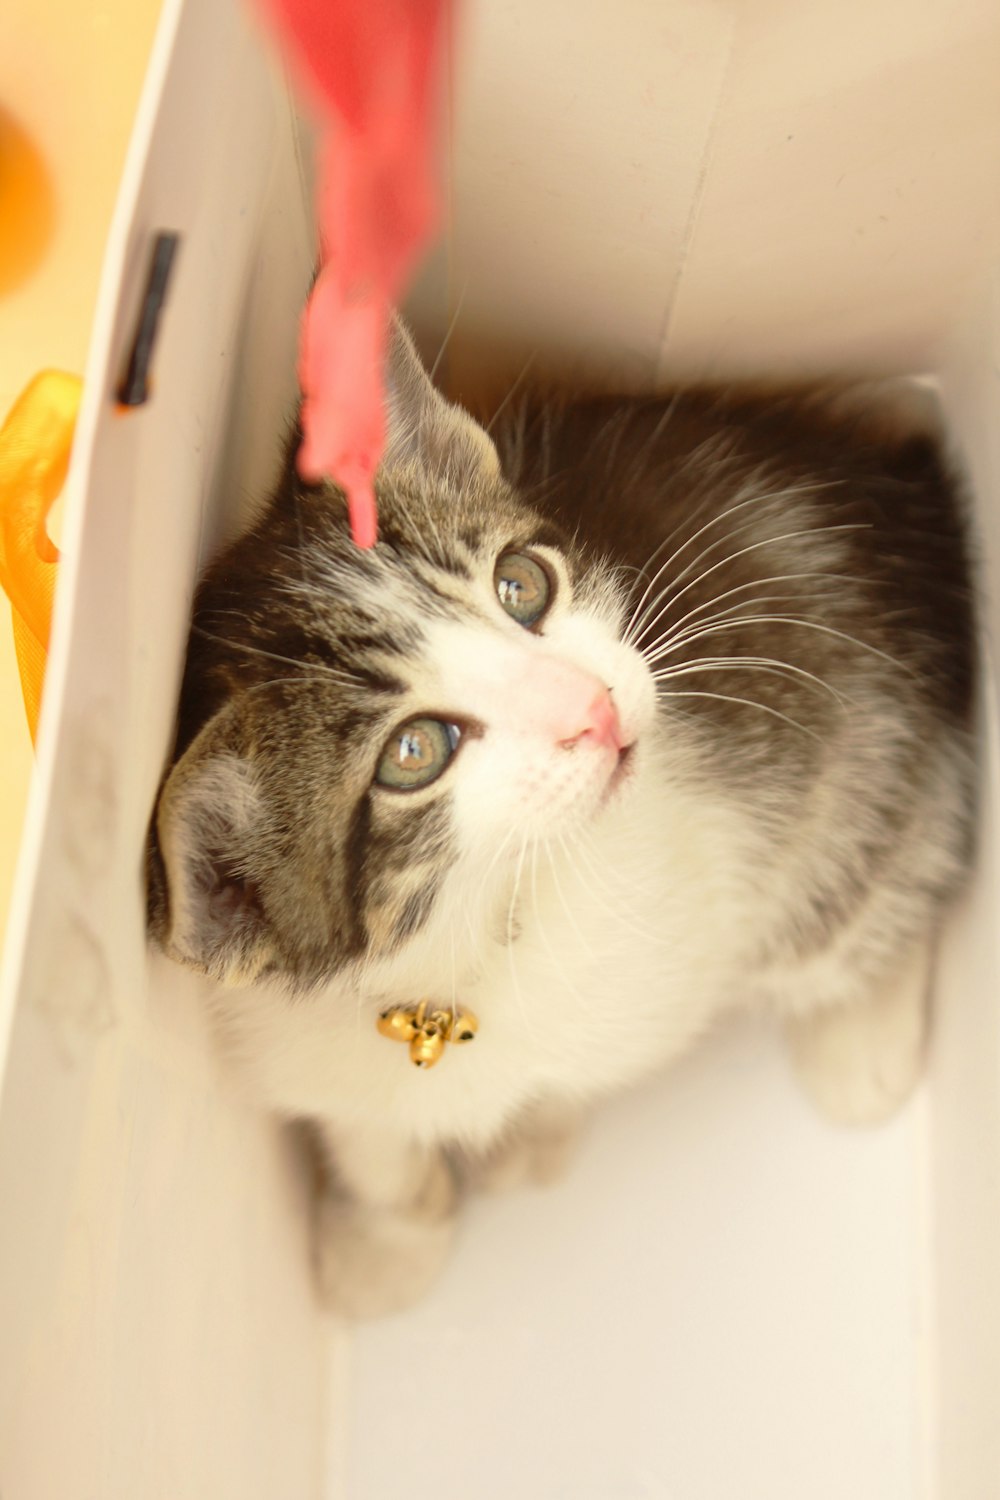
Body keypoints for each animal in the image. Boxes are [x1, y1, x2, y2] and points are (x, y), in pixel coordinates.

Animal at [148, 322, 977, 1320]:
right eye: (414, 752)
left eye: (520, 586)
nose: (595, 706)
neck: (452, 951)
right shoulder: (279, 1028)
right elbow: (368, 1134)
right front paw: (387, 1241)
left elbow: (571, 1071)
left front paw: (525, 1138)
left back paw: (860, 1036)